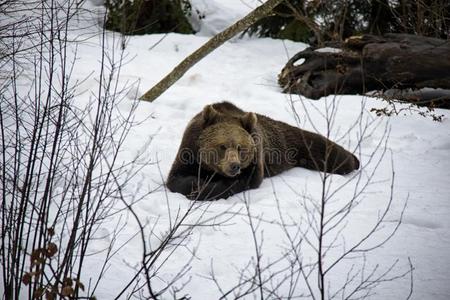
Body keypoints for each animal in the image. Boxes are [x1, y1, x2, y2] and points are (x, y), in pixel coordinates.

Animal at [167, 101, 360, 202]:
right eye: (222, 146)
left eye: (241, 147)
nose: (234, 166)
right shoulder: (189, 150)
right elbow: (177, 178)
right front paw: (198, 185)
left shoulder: (254, 160)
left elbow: (242, 181)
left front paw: (211, 187)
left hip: (298, 144)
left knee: (332, 154)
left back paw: (354, 160)